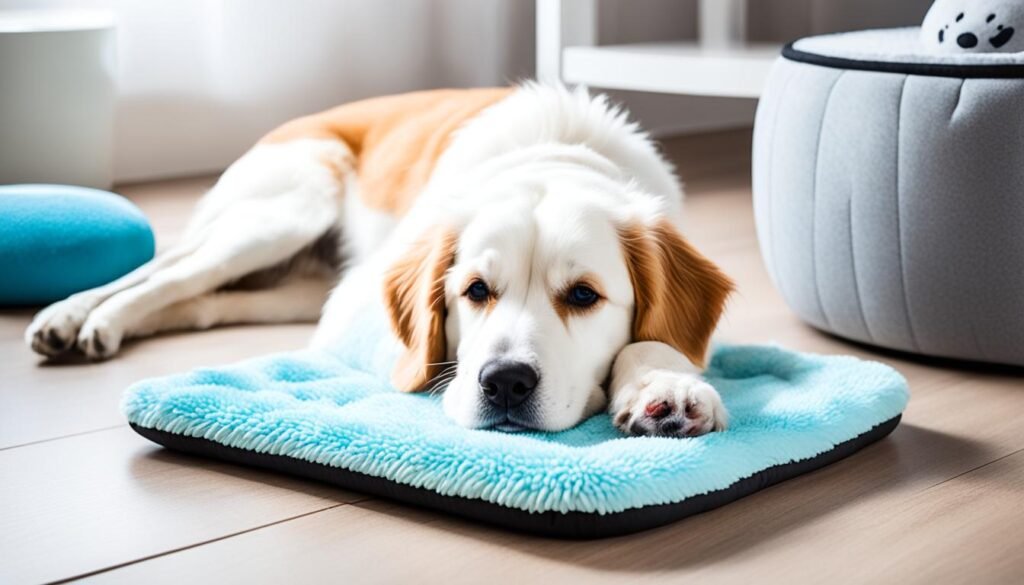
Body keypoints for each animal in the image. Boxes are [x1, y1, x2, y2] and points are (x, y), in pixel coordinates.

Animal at [25, 84, 737, 436]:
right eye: (474, 291)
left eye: (585, 296)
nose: (504, 383)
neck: (557, 151)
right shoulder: (352, 310)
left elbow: (651, 343)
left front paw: (665, 389)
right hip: (286, 209)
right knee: (166, 273)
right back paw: (83, 317)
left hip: (290, 287)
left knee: (195, 300)